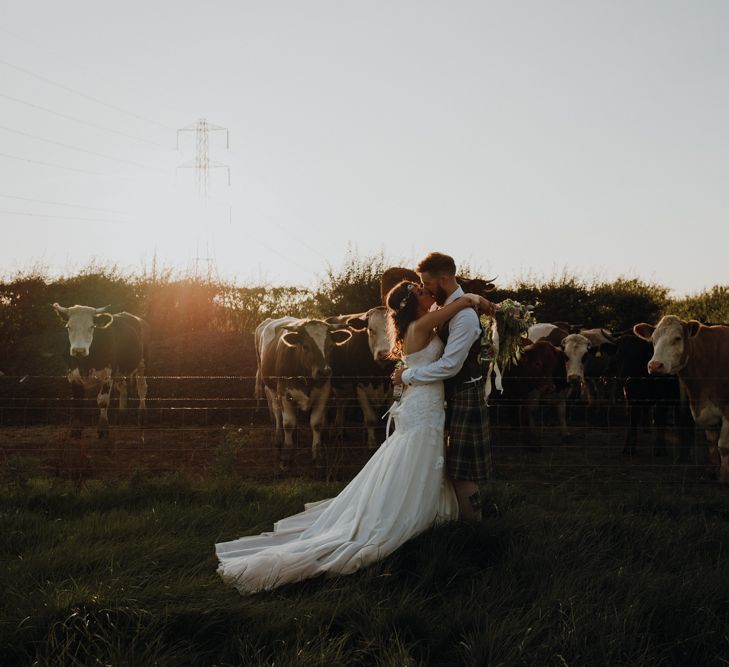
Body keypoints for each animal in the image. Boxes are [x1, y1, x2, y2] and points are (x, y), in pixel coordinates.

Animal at [53, 302, 149, 438]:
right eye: (69, 327)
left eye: (92, 326)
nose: (78, 350)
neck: (85, 362)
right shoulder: (73, 376)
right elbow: (77, 402)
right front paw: (76, 430)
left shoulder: (107, 375)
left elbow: (102, 401)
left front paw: (103, 429)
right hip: (119, 370)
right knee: (123, 388)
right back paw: (122, 417)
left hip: (142, 364)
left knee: (142, 389)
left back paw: (142, 418)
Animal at [258, 318, 352, 470]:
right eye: (306, 346)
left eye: (331, 346)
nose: (324, 371)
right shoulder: (284, 394)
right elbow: (288, 423)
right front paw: (286, 457)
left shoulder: (323, 393)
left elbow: (316, 424)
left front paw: (317, 457)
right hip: (271, 389)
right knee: (277, 413)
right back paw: (279, 438)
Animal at [632, 318, 728, 480]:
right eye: (653, 339)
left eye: (677, 338)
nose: (655, 365)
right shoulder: (706, 411)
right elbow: (712, 442)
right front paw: (711, 471)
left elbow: (723, 446)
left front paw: (724, 477)